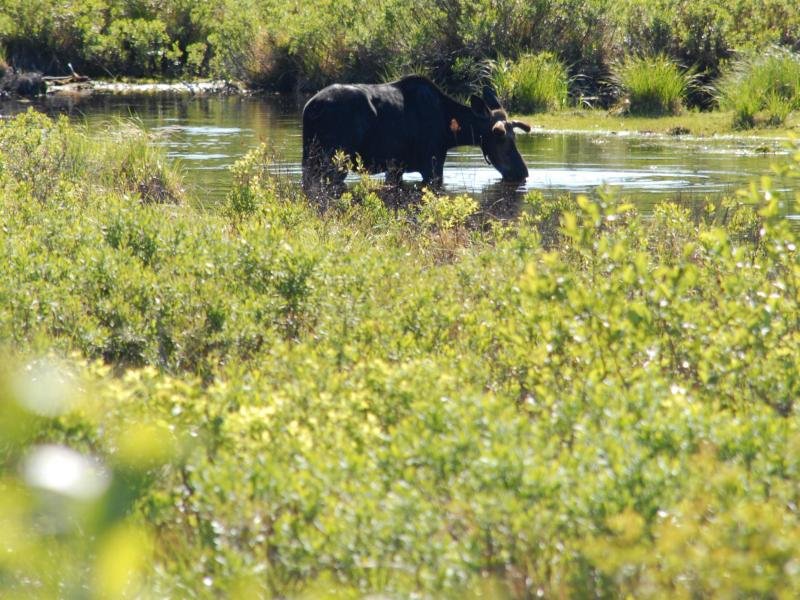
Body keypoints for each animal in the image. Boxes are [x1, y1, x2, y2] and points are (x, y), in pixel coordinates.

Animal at [300, 75, 532, 191]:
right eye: (499, 136)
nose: (522, 172)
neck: (449, 131)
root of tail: (311, 108)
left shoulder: (396, 167)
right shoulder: (432, 165)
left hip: (310, 158)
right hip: (335, 159)